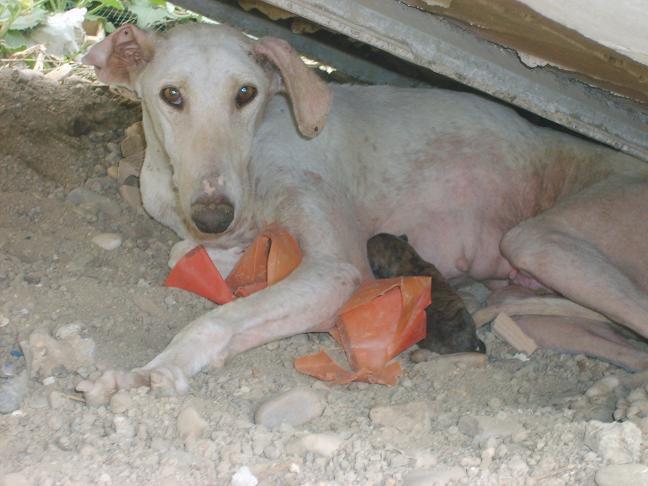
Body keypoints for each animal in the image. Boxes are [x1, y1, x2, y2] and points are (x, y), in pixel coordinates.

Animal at [78, 21, 648, 402]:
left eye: (246, 93)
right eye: (171, 95)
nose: (215, 216)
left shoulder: (335, 270)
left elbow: (215, 321)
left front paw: (159, 366)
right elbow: (184, 250)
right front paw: (227, 258)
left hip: (541, 243)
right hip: (537, 308)